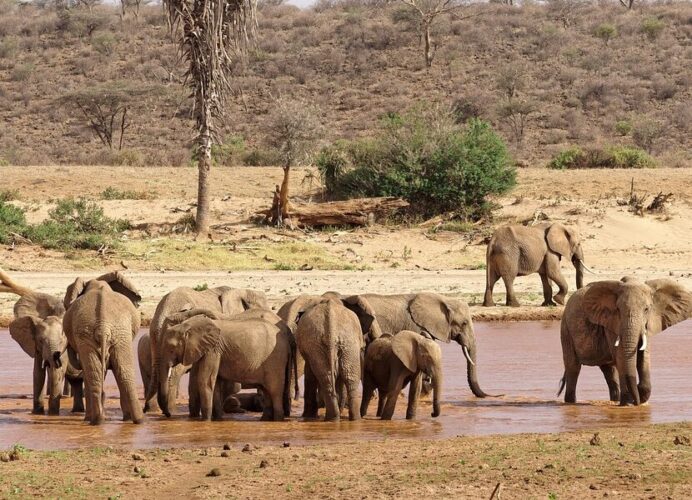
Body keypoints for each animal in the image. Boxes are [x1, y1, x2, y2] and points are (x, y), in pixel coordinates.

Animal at [1, 268, 83, 414]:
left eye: (62, 340)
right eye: (40, 340)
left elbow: (57, 372)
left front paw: (52, 414)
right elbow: (37, 373)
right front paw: (37, 413)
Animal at [63, 273, 143, 425]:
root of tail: (103, 325)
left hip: (105, 333)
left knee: (98, 373)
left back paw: (96, 420)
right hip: (114, 333)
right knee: (123, 372)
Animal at [158, 309, 295, 421]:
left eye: (171, 349)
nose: (168, 415)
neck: (187, 325)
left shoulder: (213, 349)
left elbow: (204, 381)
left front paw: (205, 421)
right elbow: (215, 382)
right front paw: (218, 420)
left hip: (275, 360)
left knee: (274, 391)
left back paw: (277, 420)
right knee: (266, 391)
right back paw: (265, 420)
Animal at [558, 277, 692, 406]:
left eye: (646, 309)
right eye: (618, 309)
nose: (636, 402)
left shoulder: (648, 324)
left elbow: (644, 356)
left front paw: (639, 395)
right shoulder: (612, 323)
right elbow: (622, 357)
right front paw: (628, 403)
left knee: (609, 371)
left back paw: (615, 400)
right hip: (566, 329)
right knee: (573, 367)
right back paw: (570, 402)